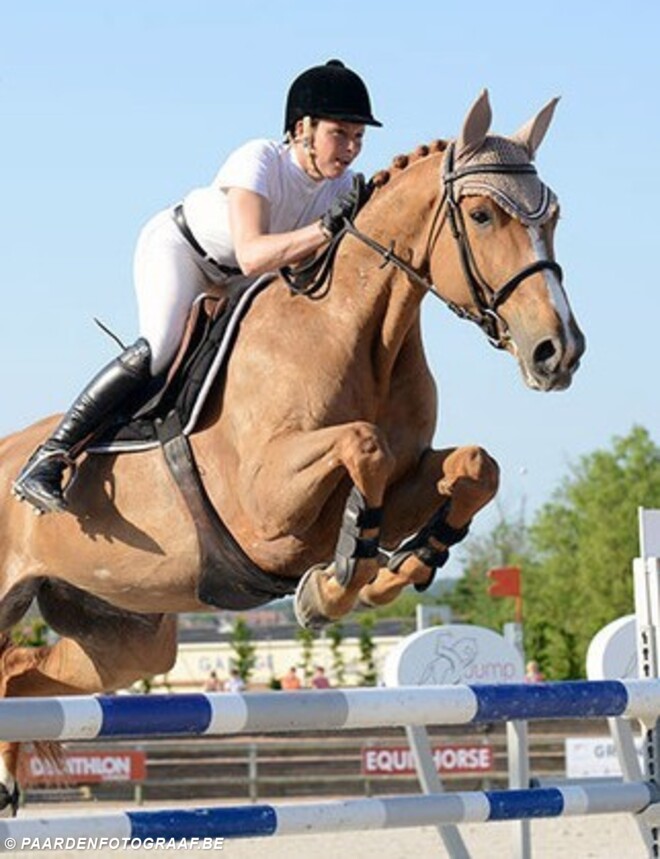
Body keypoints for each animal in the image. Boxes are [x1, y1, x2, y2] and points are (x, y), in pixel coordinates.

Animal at [0, 90, 584, 812]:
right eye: (481, 214)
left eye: (552, 216)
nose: (558, 351)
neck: (357, 332)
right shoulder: (266, 508)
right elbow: (364, 447)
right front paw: (337, 585)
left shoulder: (401, 475)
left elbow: (474, 466)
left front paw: (398, 566)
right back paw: (44, 471)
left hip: (121, 633)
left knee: (19, 674)